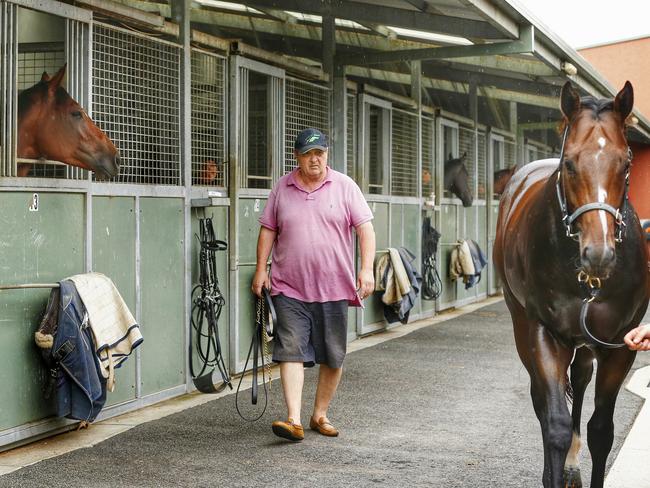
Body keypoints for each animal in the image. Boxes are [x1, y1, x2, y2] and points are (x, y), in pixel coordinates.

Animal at [494, 82, 644, 486]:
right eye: (570, 164)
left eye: (626, 162)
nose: (599, 253)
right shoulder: (545, 333)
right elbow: (555, 424)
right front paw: (553, 474)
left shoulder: (621, 344)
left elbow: (601, 430)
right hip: (523, 326)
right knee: (542, 399)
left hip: (587, 342)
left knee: (579, 378)